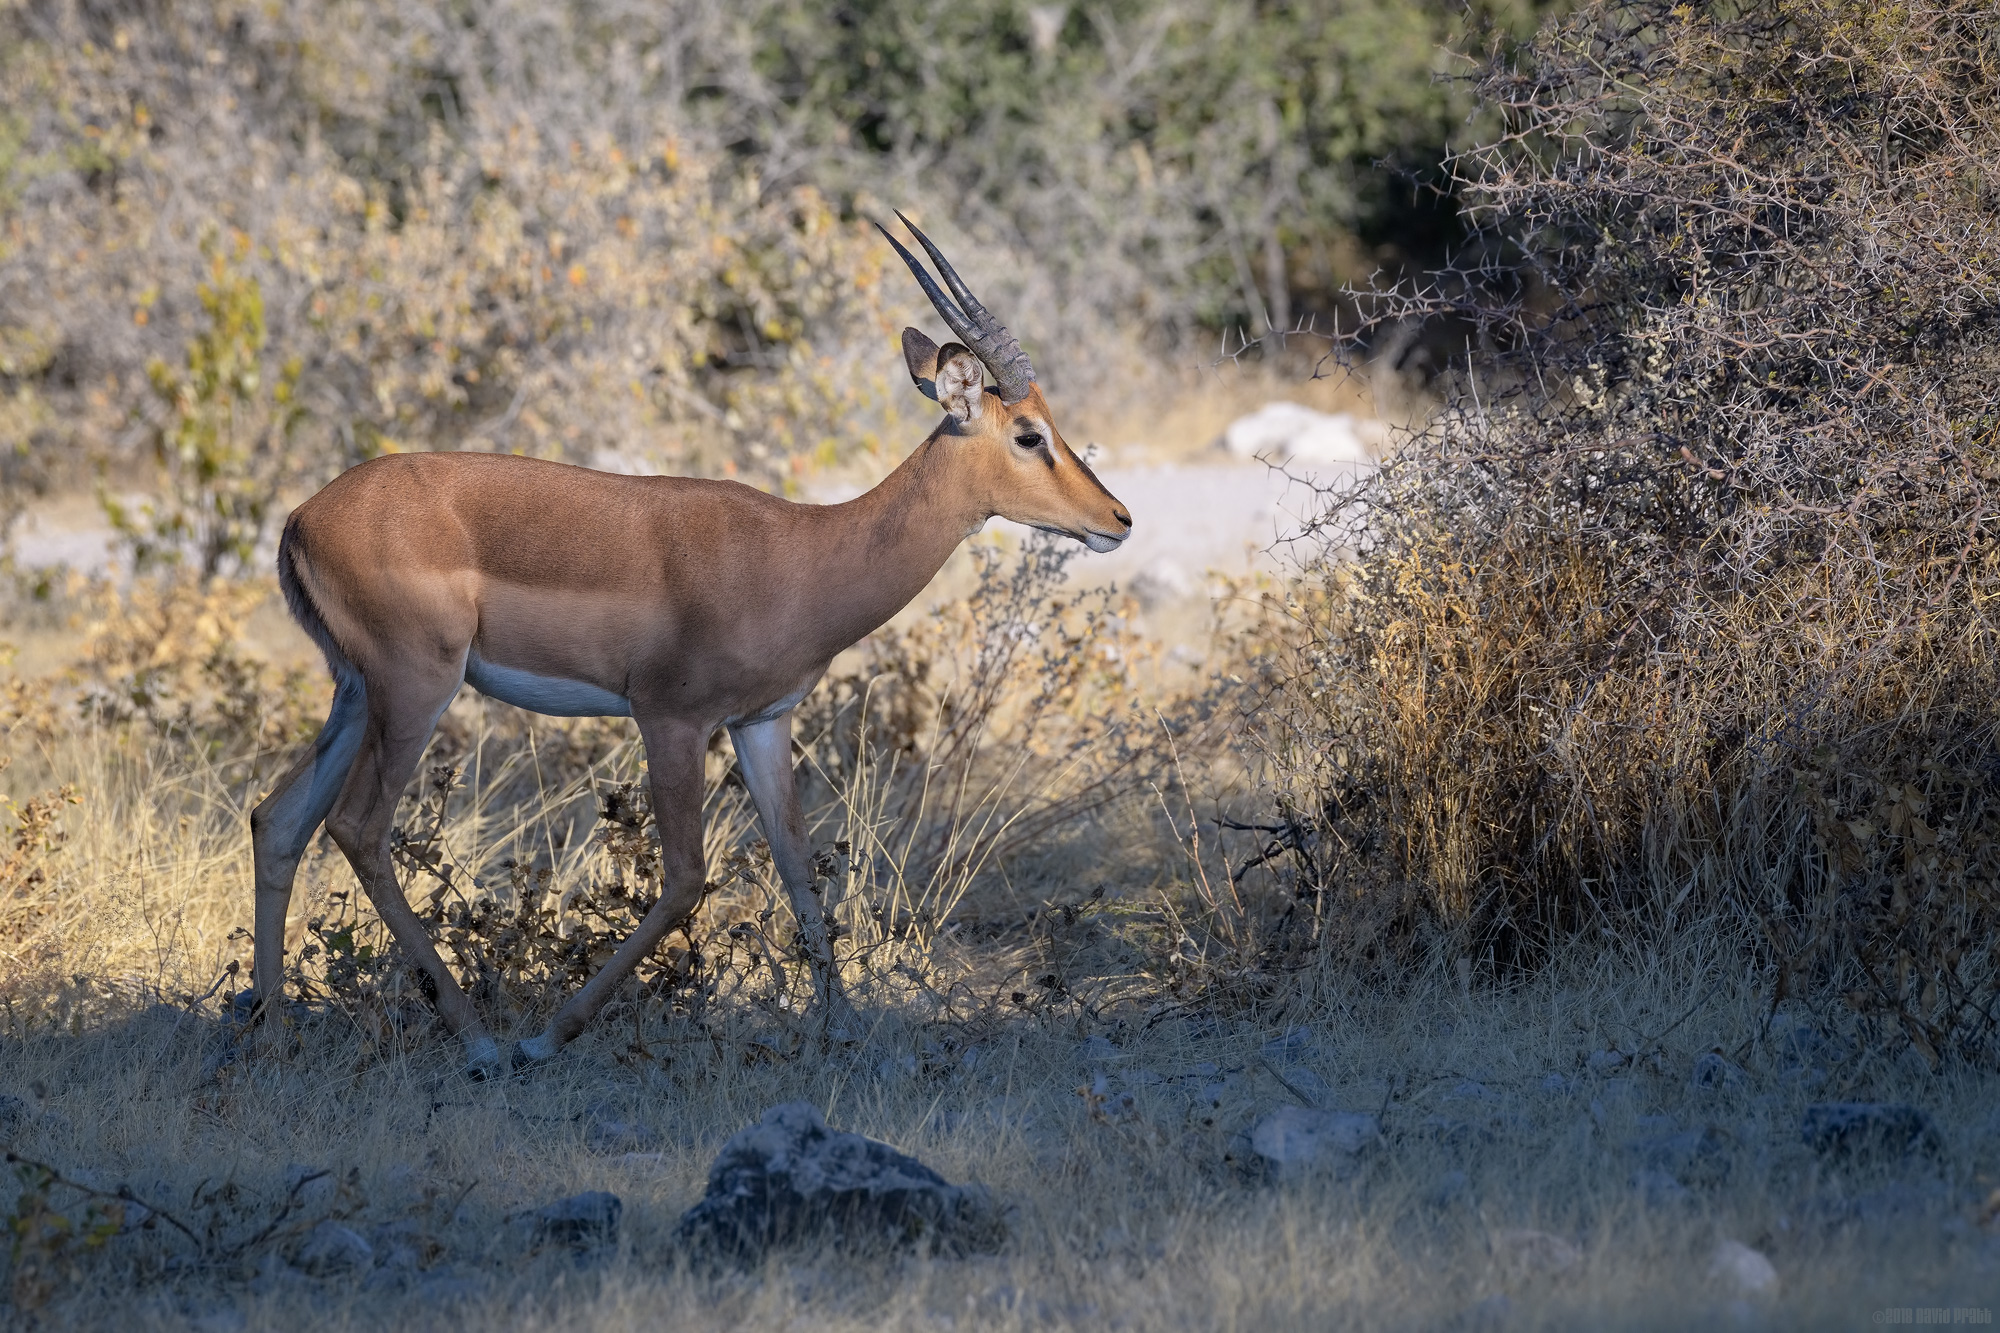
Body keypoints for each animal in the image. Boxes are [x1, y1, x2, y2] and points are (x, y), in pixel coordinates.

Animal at [246, 214, 1132, 1077]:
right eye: (1029, 435)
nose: (1118, 519)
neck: (803, 551)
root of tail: (301, 517)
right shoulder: (670, 720)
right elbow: (683, 879)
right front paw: (547, 1035)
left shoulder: (762, 723)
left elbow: (798, 869)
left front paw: (845, 1031)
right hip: (415, 688)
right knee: (358, 828)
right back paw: (483, 1042)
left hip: (356, 692)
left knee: (277, 819)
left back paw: (271, 1030)